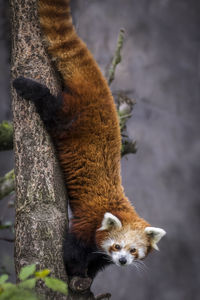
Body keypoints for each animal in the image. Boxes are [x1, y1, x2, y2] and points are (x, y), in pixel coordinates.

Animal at [12, 0, 166, 278]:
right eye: (117, 246)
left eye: (133, 251)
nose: (123, 261)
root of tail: (100, 90)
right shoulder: (87, 223)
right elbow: (72, 251)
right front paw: (75, 273)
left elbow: (96, 261)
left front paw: (88, 277)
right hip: (71, 117)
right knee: (50, 107)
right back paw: (30, 87)